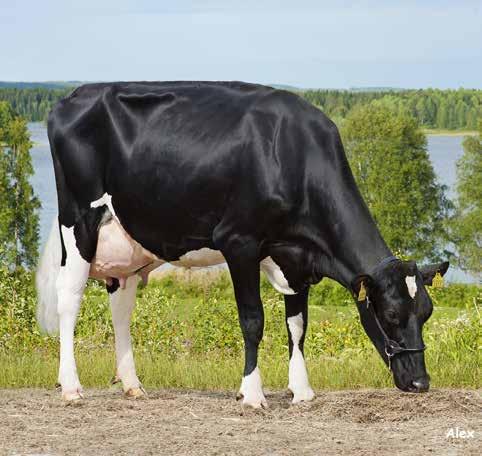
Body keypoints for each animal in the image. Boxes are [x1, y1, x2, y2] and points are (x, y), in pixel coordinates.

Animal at [35, 81, 450, 406]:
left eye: (426, 313)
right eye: (391, 315)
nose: (421, 382)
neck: (294, 157)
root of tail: (70, 97)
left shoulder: (296, 259)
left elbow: (297, 325)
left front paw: (301, 391)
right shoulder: (240, 243)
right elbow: (253, 320)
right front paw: (251, 393)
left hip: (126, 242)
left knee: (121, 307)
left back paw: (132, 385)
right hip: (79, 221)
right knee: (69, 298)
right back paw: (71, 387)